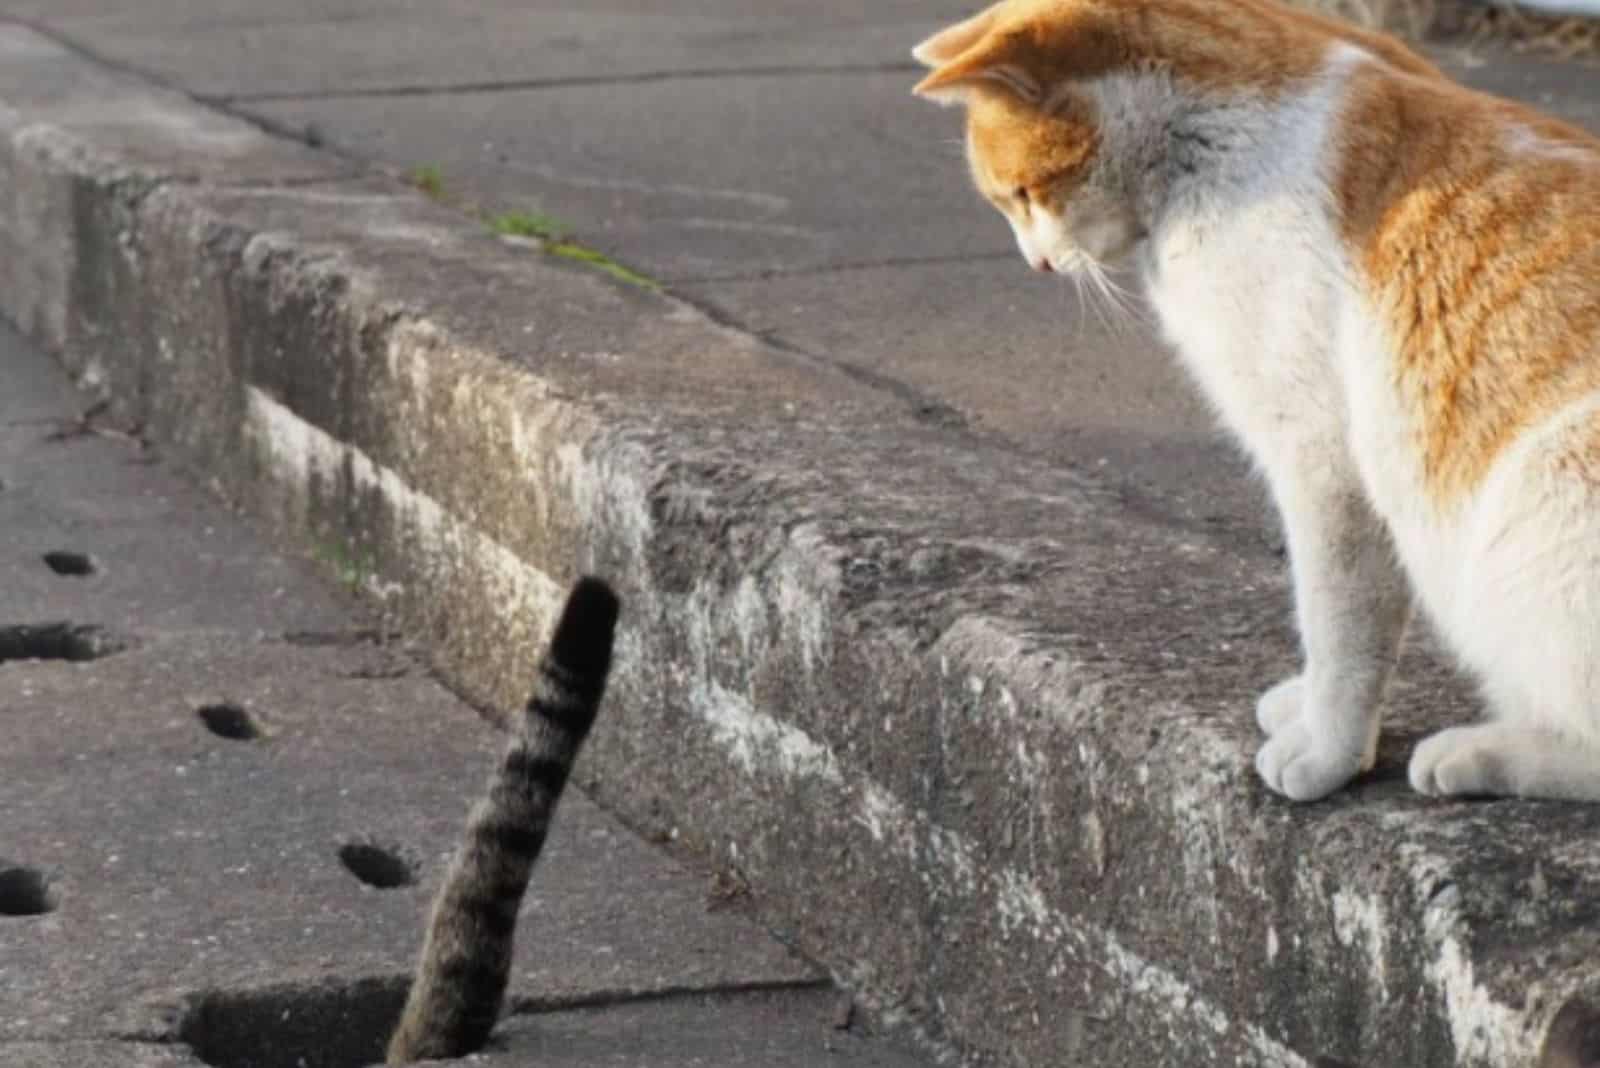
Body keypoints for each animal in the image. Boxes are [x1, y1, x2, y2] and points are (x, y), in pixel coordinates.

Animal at [915, 0, 1600, 799]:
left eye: (1021, 195)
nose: (1038, 264)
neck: (1204, 147)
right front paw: (1305, 706)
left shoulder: (1323, 462)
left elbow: (1337, 624)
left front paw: (1329, 748)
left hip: (1541, 499)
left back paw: (1481, 751)